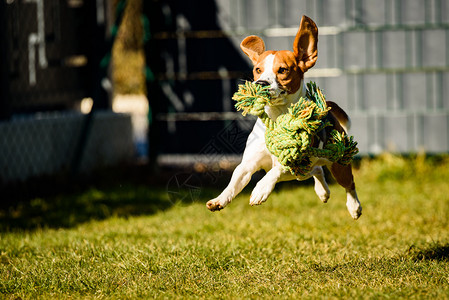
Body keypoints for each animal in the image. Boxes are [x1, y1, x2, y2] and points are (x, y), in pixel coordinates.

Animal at [206, 15, 360, 219]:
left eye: (283, 70)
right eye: (258, 69)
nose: (261, 83)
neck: (276, 117)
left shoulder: (294, 158)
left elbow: (276, 169)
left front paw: (261, 189)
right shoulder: (249, 163)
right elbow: (235, 179)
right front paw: (220, 199)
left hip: (337, 164)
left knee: (348, 183)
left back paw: (354, 206)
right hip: (303, 172)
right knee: (317, 169)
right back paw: (323, 191)